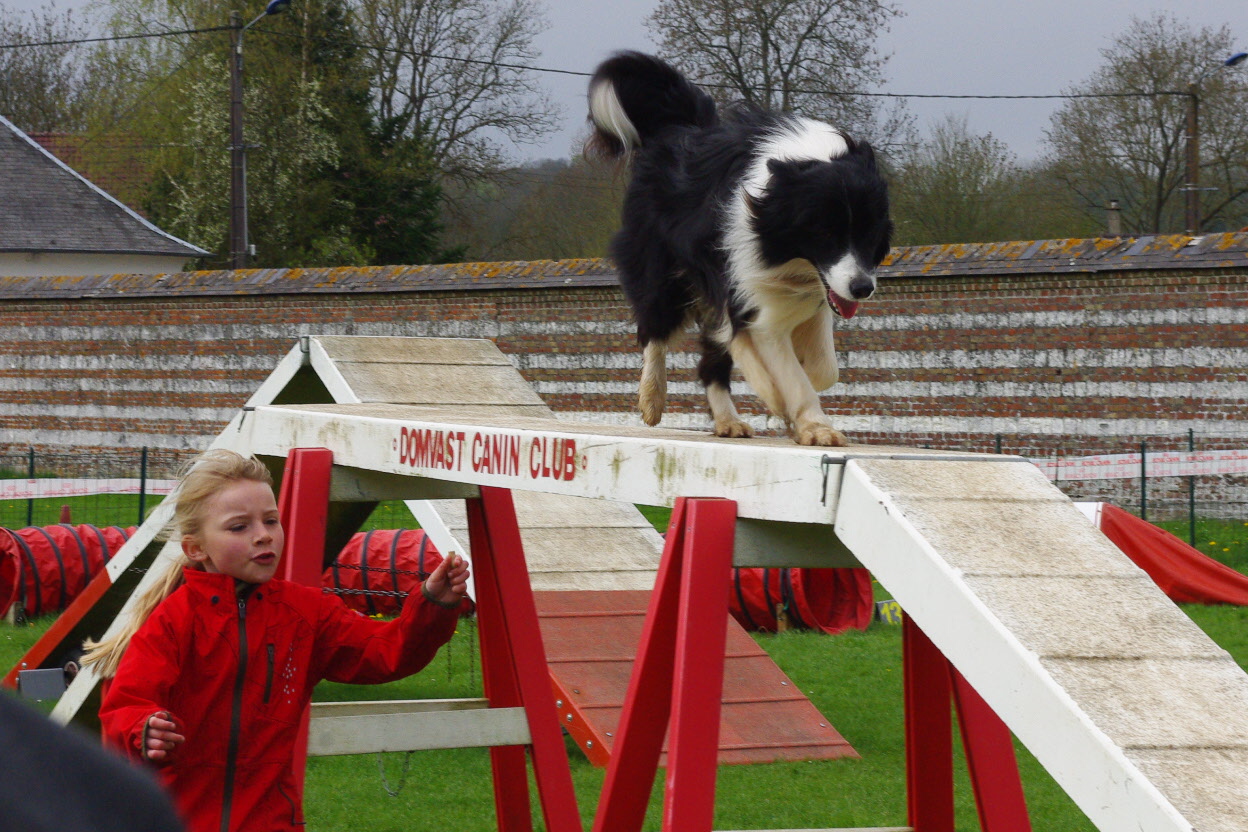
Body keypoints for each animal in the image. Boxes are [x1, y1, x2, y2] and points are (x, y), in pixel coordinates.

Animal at [584, 51, 888, 446]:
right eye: (825, 233)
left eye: (870, 233)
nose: (863, 288)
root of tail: (683, 128)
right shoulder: (748, 281)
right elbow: (785, 365)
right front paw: (810, 422)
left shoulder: (817, 288)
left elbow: (824, 368)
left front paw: (793, 411)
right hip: (662, 263)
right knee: (655, 327)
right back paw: (652, 399)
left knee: (711, 357)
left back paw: (728, 421)